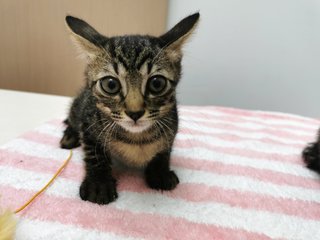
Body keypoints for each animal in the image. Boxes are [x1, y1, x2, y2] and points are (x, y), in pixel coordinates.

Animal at [60, 13, 200, 204]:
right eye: (110, 85)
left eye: (157, 83)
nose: (135, 112)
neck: (137, 139)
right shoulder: (88, 123)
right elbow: (94, 154)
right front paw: (98, 183)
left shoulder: (172, 123)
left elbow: (165, 149)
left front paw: (160, 172)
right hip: (79, 106)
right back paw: (69, 136)